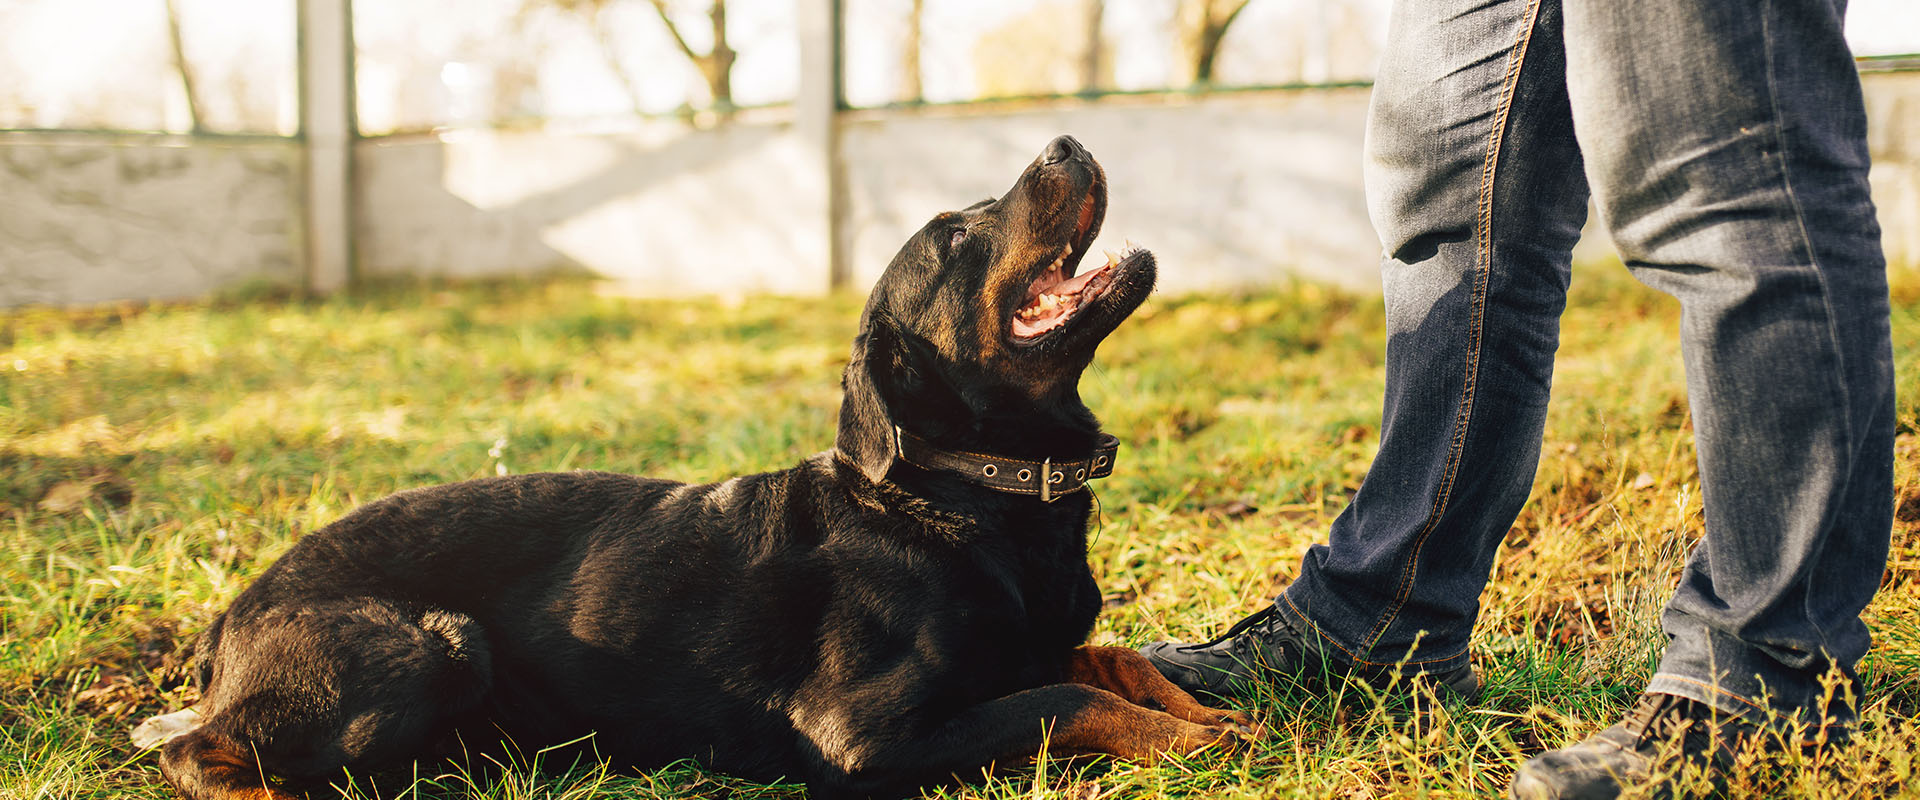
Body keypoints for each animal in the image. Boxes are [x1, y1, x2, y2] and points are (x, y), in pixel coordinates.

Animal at [157, 135, 1251, 798]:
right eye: (954, 234)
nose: (1065, 143)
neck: (966, 493)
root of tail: (229, 617)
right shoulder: (860, 738)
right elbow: (1062, 699)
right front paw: (1196, 737)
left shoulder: (1036, 645)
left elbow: (1114, 660)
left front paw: (1209, 709)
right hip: (431, 643)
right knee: (195, 751)